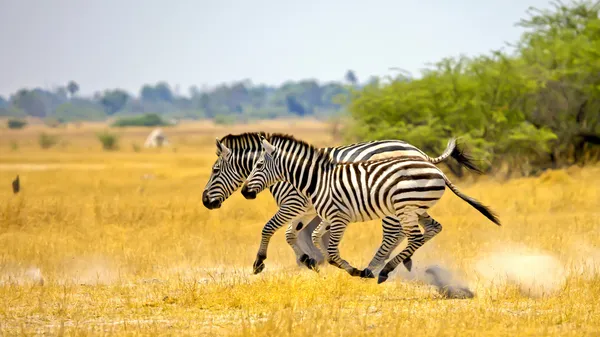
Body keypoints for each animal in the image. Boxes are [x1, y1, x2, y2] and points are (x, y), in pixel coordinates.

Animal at [203, 130, 482, 274]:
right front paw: (311, 260)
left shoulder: (293, 203)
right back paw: (399, 262)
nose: (206, 202)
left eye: (215, 170)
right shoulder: (307, 209)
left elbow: (271, 228)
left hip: (393, 204)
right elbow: (292, 234)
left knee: (396, 233)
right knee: (413, 231)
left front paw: (260, 262)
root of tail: (418, 152)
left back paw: (380, 266)